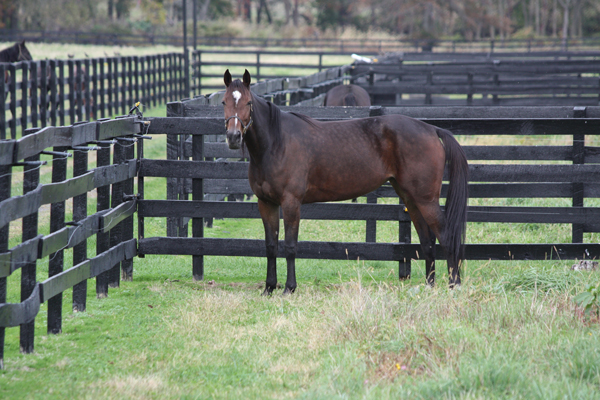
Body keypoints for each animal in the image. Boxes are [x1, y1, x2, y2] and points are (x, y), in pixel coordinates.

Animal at [221, 69, 468, 294]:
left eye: (248, 102)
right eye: (224, 101)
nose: (233, 137)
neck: (276, 143)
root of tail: (431, 129)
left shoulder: (291, 203)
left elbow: (290, 246)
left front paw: (289, 288)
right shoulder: (266, 203)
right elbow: (270, 246)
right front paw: (269, 288)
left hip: (426, 199)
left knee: (446, 237)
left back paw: (454, 285)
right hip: (411, 198)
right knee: (427, 241)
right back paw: (429, 286)